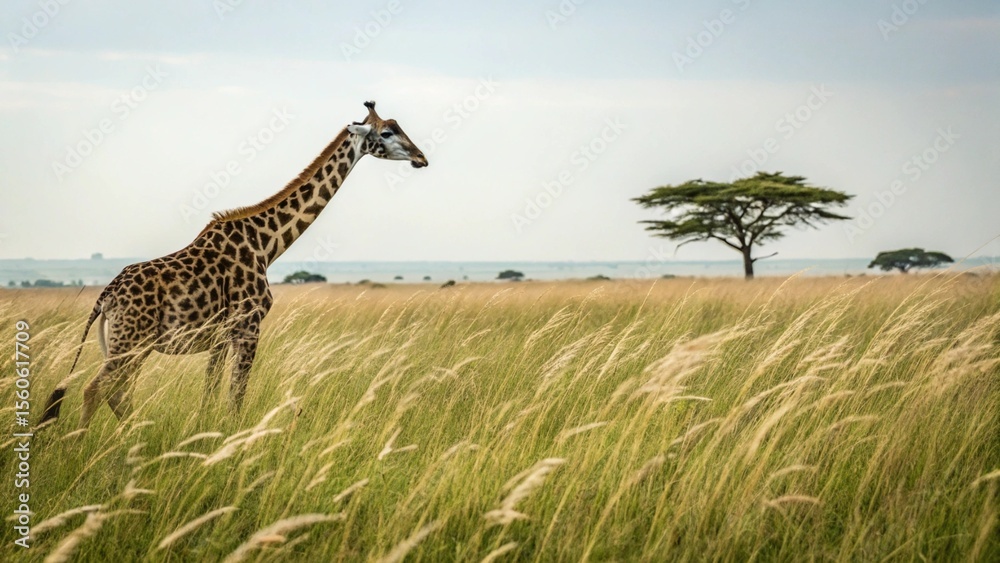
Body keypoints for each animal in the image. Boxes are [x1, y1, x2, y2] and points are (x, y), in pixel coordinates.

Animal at [40, 101, 427, 428]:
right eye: (387, 132)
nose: (421, 157)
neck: (266, 244)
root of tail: (105, 297)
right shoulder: (248, 326)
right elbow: (235, 398)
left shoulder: (219, 337)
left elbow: (210, 396)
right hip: (130, 342)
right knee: (95, 389)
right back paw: (81, 450)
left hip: (128, 344)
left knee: (118, 393)